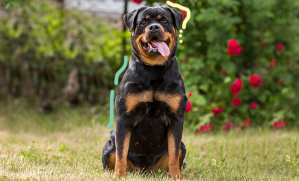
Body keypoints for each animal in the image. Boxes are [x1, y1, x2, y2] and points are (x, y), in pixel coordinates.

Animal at [103, 6, 188, 179]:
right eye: (143, 22)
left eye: (164, 21)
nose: (154, 27)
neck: (154, 71)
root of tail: (144, 170)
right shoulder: (124, 117)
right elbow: (121, 151)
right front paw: (119, 175)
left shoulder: (176, 118)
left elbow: (174, 153)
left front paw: (176, 176)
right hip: (109, 144)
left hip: (183, 147)